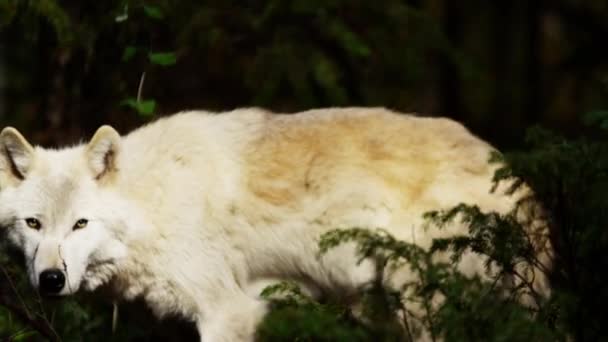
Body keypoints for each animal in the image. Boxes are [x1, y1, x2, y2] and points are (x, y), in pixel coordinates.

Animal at [0, 107, 552, 340]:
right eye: (33, 223)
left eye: (80, 224)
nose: (51, 279)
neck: (153, 201)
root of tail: (515, 175)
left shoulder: (228, 314)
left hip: (422, 312)